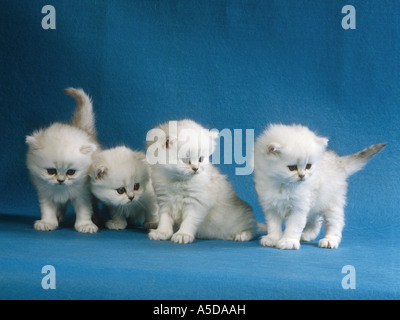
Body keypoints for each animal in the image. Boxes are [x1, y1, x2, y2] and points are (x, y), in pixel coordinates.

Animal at [25, 87, 99, 232]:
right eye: (51, 171)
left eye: (71, 172)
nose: (60, 180)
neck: (61, 190)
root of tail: (82, 129)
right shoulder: (45, 193)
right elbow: (48, 210)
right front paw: (47, 223)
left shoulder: (83, 194)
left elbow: (84, 210)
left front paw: (85, 225)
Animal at [253, 123, 384, 250]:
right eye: (292, 167)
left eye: (308, 166)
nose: (302, 176)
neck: (282, 185)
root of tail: (338, 161)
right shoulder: (271, 207)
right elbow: (273, 225)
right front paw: (273, 238)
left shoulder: (299, 207)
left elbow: (294, 226)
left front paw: (288, 241)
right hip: (316, 201)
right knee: (316, 219)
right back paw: (308, 234)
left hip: (332, 204)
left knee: (335, 223)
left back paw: (330, 240)